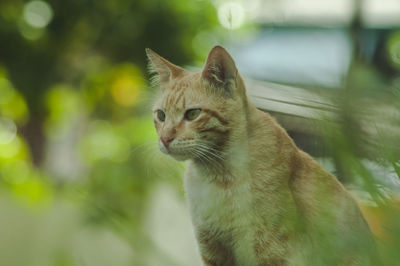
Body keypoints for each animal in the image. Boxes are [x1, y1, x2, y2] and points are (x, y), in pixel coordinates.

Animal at [147, 46, 378, 266]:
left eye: (193, 114)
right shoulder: (213, 252)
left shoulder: (273, 253)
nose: (165, 139)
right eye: (161, 115)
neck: (216, 176)